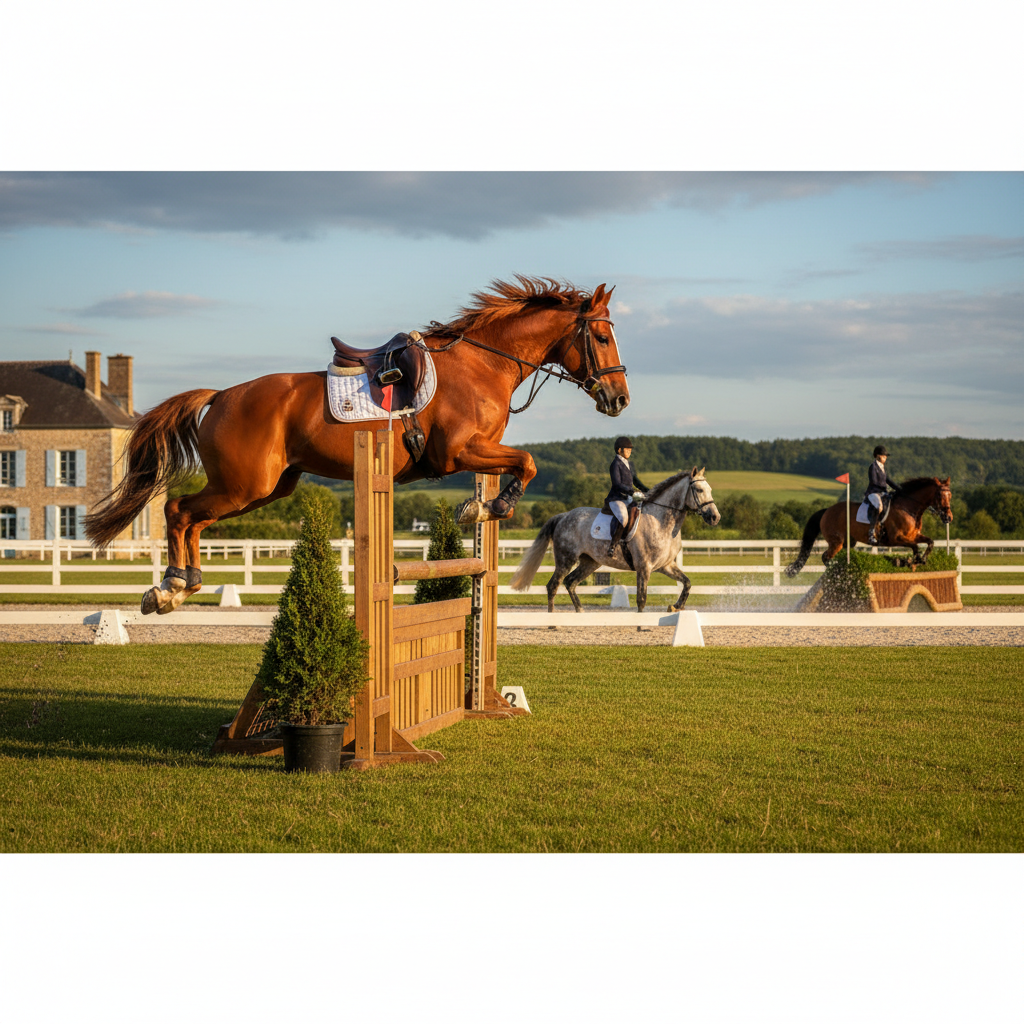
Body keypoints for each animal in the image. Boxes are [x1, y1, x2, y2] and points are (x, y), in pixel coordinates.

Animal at [85, 276, 630, 615]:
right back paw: (170, 587)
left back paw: (184, 584)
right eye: (602, 338)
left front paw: (482, 505)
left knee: (194, 518)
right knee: (178, 510)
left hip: (266, 489)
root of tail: (220, 395)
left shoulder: (480, 452)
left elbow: (521, 465)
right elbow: (529, 462)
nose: (619, 398)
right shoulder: (458, 452)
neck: (484, 363)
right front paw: (487, 508)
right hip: (244, 484)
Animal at [509, 468, 721, 612]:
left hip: (590, 562)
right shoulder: (644, 567)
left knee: (570, 582)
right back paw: (552, 620)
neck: (661, 522)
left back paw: (580, 612)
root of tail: (563, 516)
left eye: (710, 489)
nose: (715, 517)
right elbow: (641, 599)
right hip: (565, 559)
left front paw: (675, 607)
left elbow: (687, 583)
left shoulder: (665, 565)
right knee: (553, 585)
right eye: (699, 490)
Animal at [785, 476, 954, 576]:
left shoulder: (914, 536)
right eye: (940, 495)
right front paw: (908, 561)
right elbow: (915, 547)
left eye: (950, 495)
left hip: (848, 542)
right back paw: (837, 571)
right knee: (825, 557)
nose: (948, 517)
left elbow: (930, 542)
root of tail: (827, 510)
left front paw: (919, 560)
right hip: (836, 542)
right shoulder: (897, 538)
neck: (909, 507)